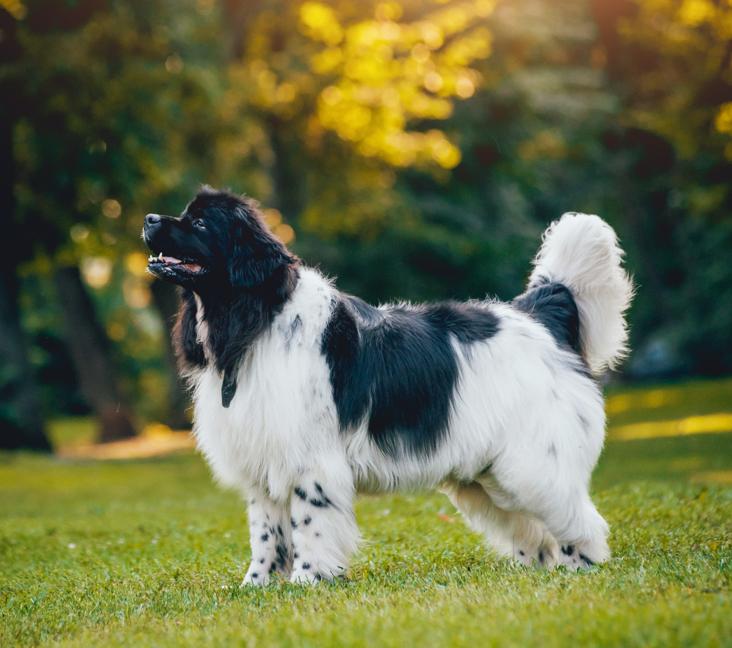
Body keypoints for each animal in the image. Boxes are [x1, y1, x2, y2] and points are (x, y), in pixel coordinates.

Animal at [144, 186, 636, 584]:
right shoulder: (264, 461)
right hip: (491, 476)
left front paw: (308, 579)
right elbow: (266, 534)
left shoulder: (310, 461)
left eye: (199, 223)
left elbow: (309, 524)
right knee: (534, 530)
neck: (258, 316)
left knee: (579, 521)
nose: (148, 219)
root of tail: (537, 314)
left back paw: (581, 567)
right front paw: (257, 585)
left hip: (532, 463)